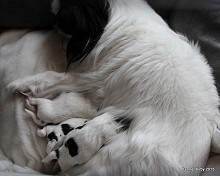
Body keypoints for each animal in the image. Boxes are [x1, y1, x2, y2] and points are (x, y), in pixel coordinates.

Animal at [6, 0, 220, 176]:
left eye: (64, 16)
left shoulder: (87, 78)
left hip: (107, 157)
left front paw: (18, 84)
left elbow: (50, 78)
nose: (52, 9)